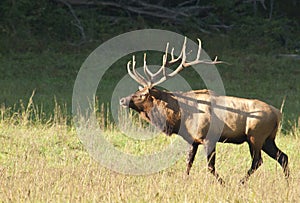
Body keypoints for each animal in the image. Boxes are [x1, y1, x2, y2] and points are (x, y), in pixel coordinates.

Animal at [119, 36, 288, 184]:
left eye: (142, 95)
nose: (122, 100)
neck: (181, 117)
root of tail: (278, 114)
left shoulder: (209, 138)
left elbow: (210, 166)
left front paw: (223, 183)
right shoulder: (193, 140)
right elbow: (188, 163)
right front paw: (184, 180)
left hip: (255, 136)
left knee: (258, 161)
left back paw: (240, 182)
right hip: (268, 139)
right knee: (283, 157)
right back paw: (287, 182)